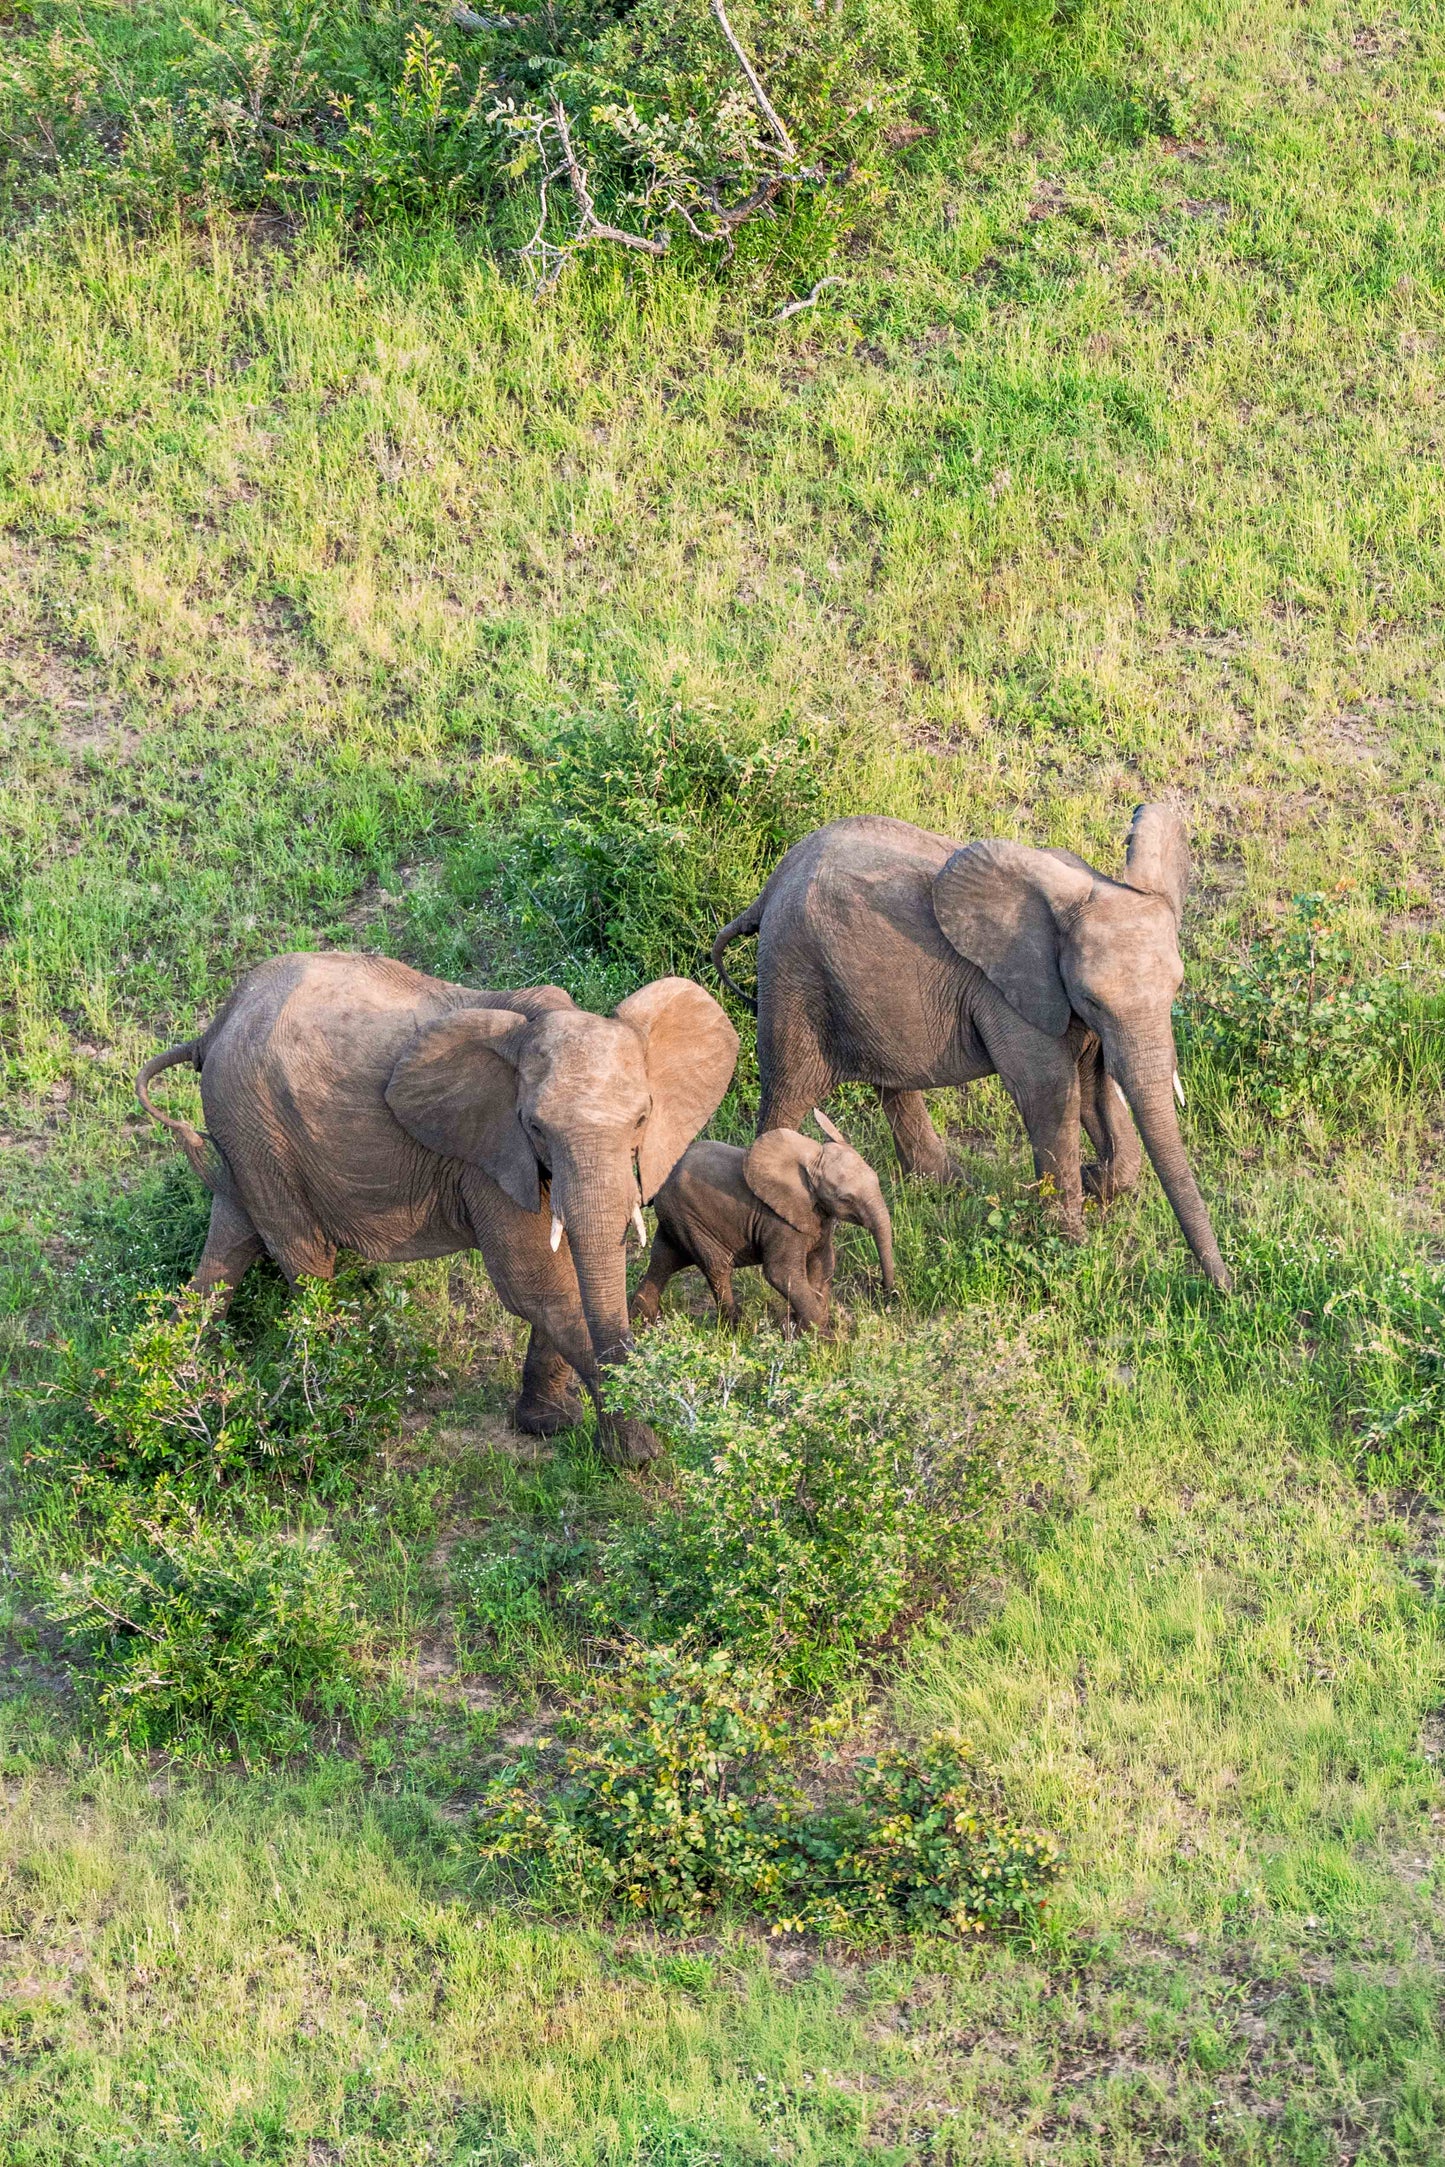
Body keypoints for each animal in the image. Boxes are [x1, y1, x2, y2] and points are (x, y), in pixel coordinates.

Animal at [136, 951, 739, 1464]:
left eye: (642, 1119)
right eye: (535, 1126)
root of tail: (214, 1026)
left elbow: (562, 1269)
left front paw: (547, 1426)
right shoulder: (488, 1155)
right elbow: (538, 1285)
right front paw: (639, 1452)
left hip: (243, 1132)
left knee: (230, 1241)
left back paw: (184, 1381)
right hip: (260, 1126)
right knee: (306, 1262)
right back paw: (338, 1409)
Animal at [631, 1109, 895, 1333]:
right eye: (845, 1198)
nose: (887, 1298)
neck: (811, 1159)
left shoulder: (817, 1218)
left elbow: (824, 1265)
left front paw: (802, 1328)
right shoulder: (778, 1222)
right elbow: (780, 1273)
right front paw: (819, 1336)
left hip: (675, 1218)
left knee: (664, 1260)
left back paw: (643, 1324)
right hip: (690, 1217)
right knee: (717, 1267)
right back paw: (738, 1330)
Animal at [712, 802, 1230, 1290]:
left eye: (1176, 987)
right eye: (1092, 997)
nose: (1225, 1288)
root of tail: (772, 883)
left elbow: (1094, 1083)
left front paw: (1098, 1181)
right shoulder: (1011, 995)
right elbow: (1049, 1091)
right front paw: (1073, 1246)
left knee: (892, 1082)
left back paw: (952, 1187)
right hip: (794, 977)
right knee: (789, 1089)